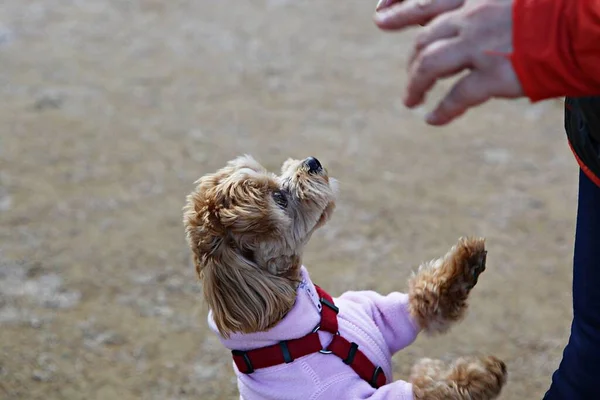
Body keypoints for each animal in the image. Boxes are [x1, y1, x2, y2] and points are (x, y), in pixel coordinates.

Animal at [183, 155, 506, 400]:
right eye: (279, 198)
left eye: (275, 178)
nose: (312, 161)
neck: (315, 328)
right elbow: (428, 391)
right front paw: (481, 373)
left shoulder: (380, 316)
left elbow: (425, 300)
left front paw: (468, 263)